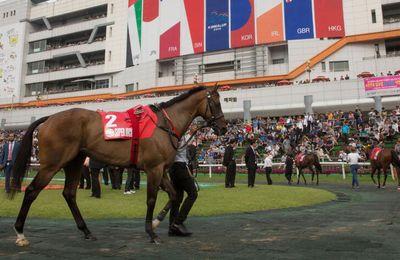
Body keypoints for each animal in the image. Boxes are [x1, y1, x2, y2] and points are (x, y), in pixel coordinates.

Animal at [8, 85, 225, 246]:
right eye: (216, 102)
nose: (223, 128)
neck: (164, 124)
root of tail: (49, 118)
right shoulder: (153, 169)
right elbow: (151, 200)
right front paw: (151, 232)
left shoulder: (162, 170)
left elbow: (173, 195)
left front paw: (157, 222)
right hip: (51, 165)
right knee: (32, 191)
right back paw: (20, 233)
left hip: (74, 162)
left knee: (69, 193)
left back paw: (86, 231)